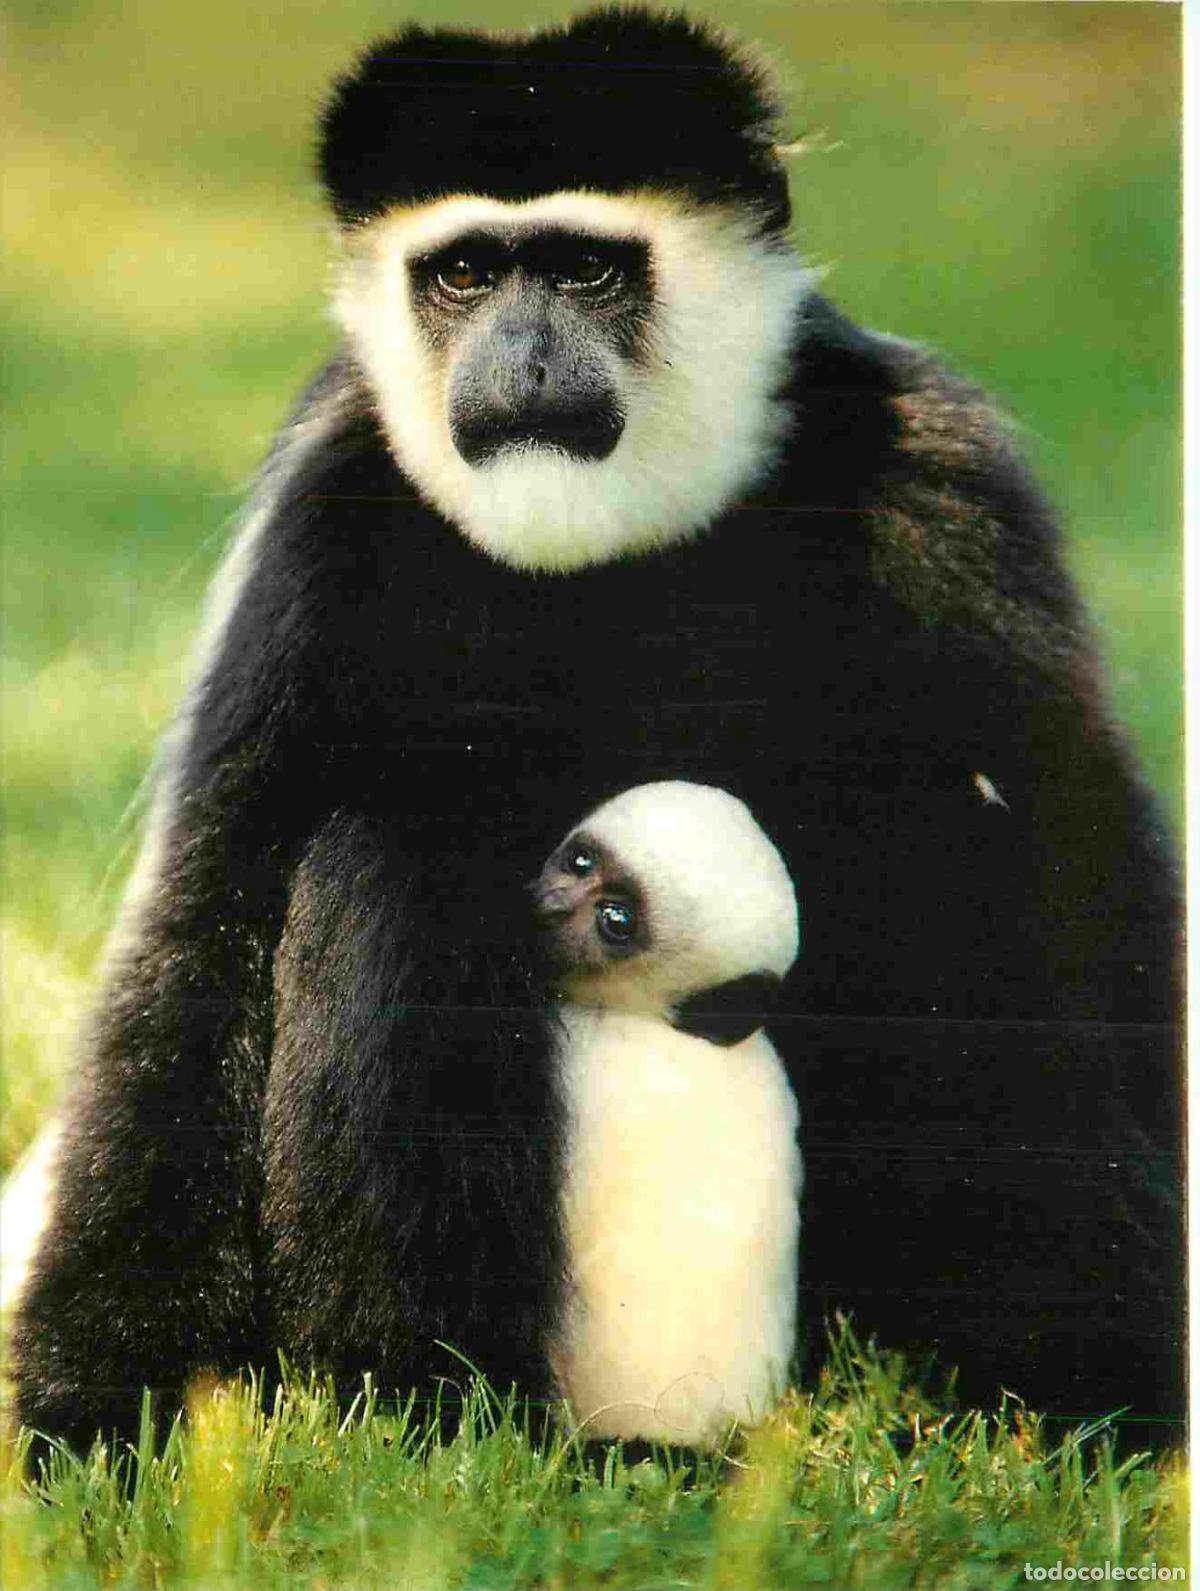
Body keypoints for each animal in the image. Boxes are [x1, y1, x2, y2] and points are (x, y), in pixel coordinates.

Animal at [11, 8, 1181, 1454]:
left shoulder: (947, 488)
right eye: (464, 272)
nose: (520, 360)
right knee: (383, 862)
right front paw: (98, 1417)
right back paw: (426, 1405)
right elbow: (206, 927)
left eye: (583, 267)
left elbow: (1077, 892)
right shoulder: (322, 521)